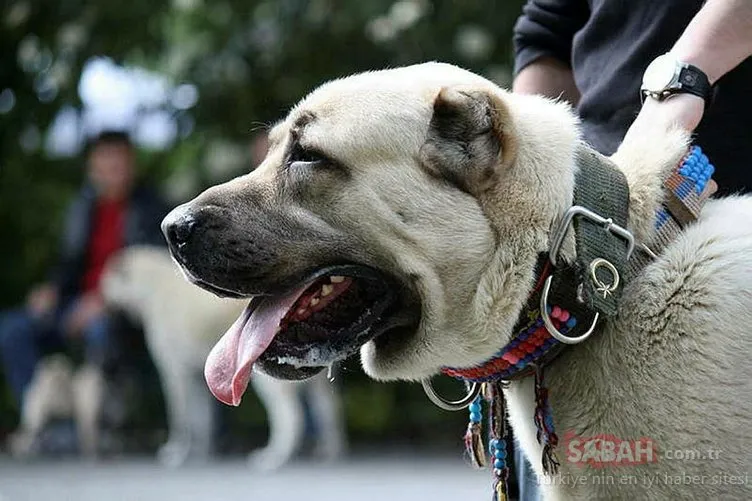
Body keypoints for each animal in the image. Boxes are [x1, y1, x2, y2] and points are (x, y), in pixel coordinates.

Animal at [100, 246, 346, 468]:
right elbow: (203, 419)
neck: (154, 288)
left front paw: (178, 452)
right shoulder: (198, 377)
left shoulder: (175, 373)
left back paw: (275, 458)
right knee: (328, 410)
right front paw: (201, 452)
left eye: (107, 279)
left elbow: (183, 417)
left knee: (292, 417)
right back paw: (331, 450)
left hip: (268, 382)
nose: (98, 297)